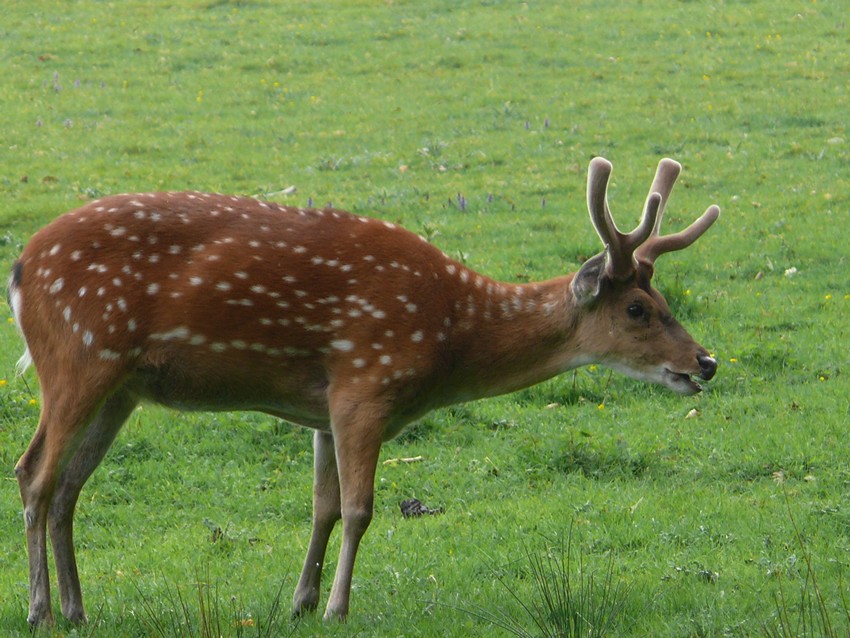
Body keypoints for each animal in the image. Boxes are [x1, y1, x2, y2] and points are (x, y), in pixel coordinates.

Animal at [8, 156, 719, 626]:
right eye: (636, 309)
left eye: (662, 300)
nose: (706, 362)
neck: (448, 336)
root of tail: (17, 271)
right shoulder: (365, 383)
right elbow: (358, 509)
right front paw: (336, 607)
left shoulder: (323, 406)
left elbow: (322, 506)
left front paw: (300, 601)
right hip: (76, 356)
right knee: (33, 472)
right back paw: (41, 608)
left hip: (123, 386)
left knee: (69, 486)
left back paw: (77, 608)